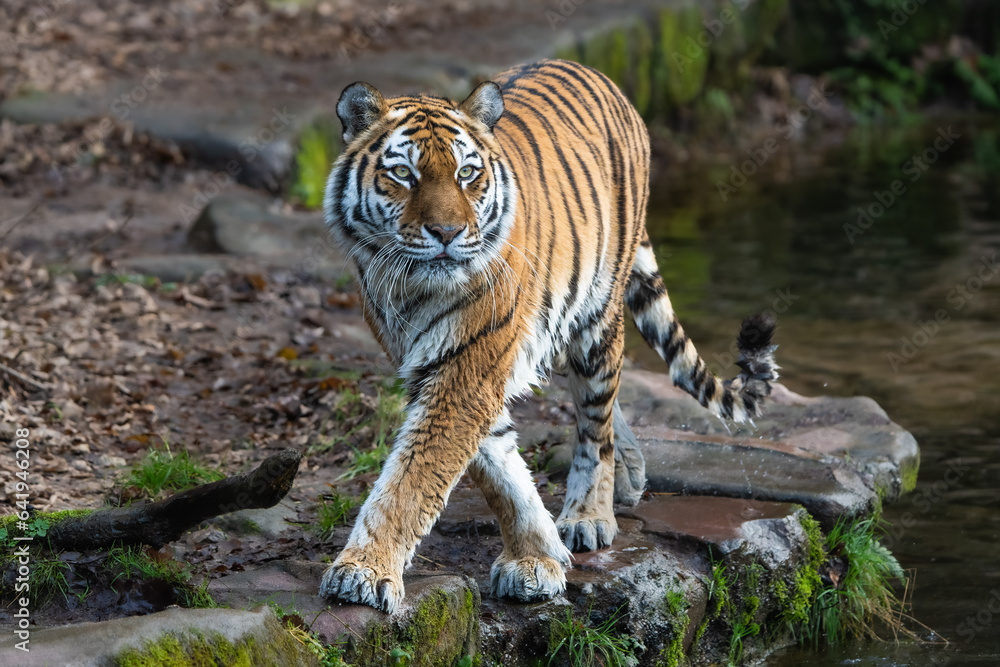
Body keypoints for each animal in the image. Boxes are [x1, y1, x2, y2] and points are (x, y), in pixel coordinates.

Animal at [319, 59, 778, 614]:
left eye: (466, 173)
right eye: (403, 174)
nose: (448, 233)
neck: (412, 286)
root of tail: (600, 75)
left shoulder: (468, 369)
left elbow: (414, 478)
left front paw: (363, 571)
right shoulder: (440, 367)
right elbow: (497, 469)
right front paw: (536, 556)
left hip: (597, 319)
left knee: (596, 423)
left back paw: (590, 514)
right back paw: (629, 475)